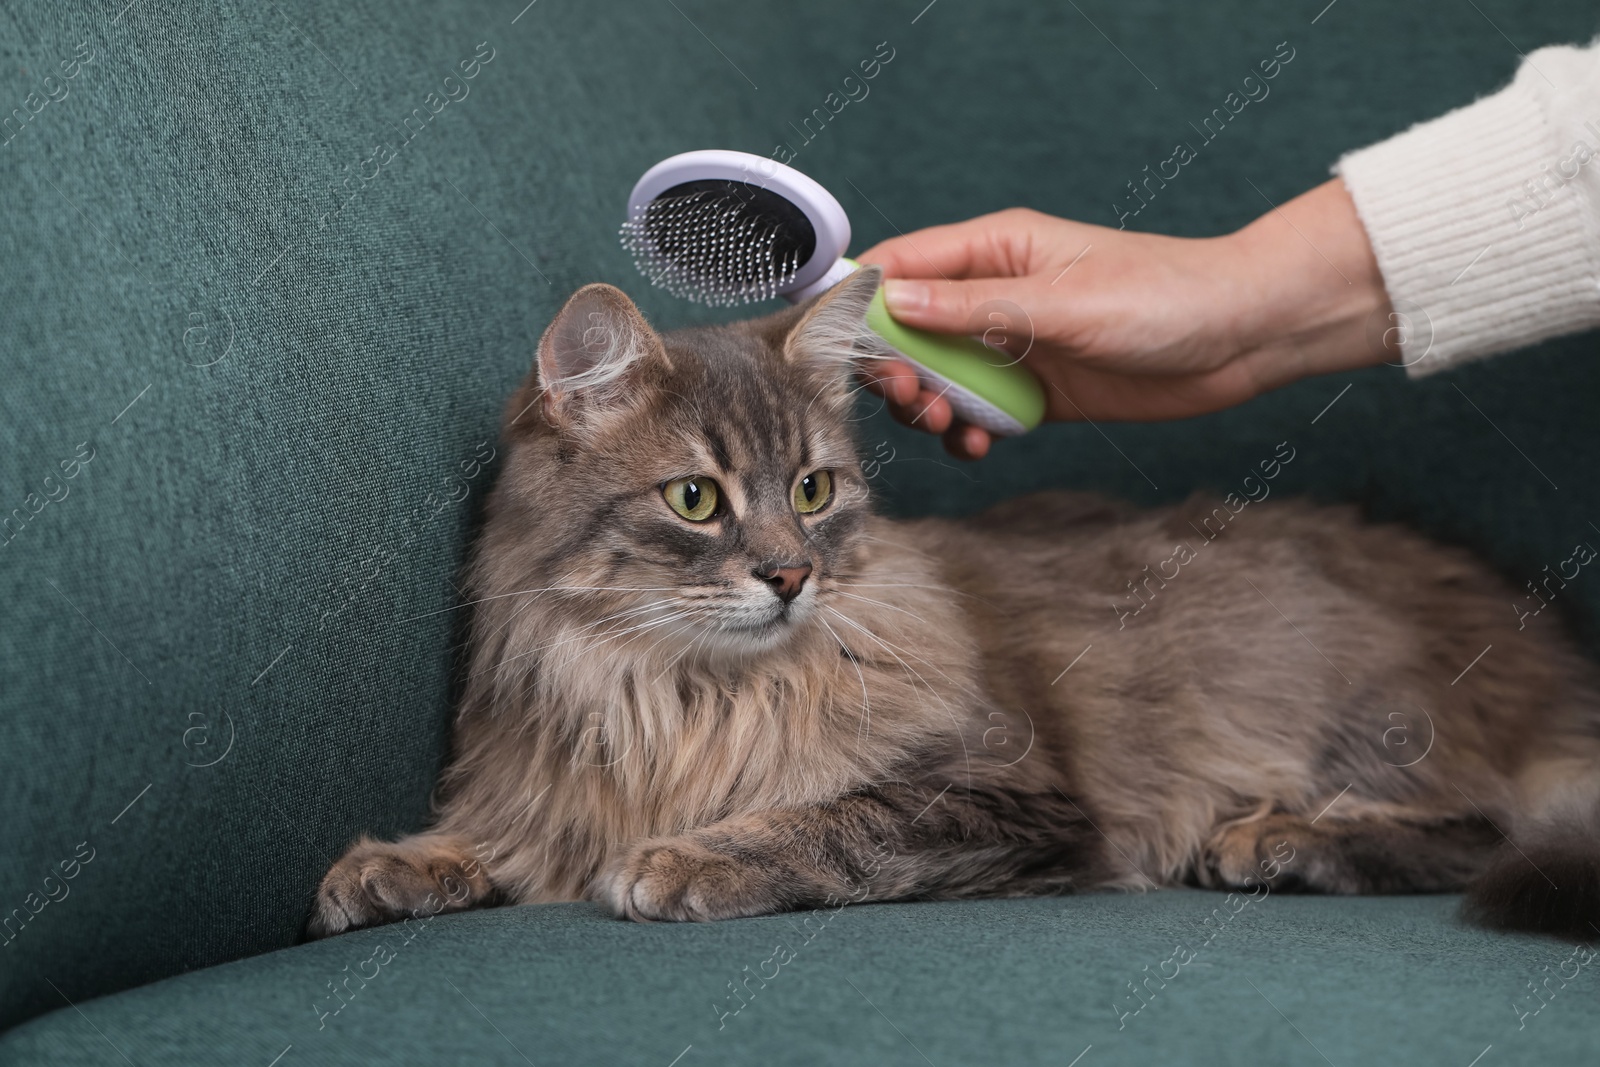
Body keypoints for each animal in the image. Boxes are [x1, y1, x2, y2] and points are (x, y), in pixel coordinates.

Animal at [305, 268, 1600, 940]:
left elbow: (828, 822)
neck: (688, 695)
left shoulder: (1012, 794)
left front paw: (688, 857)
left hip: (1364, 713)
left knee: (1487, 825)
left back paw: (1281, 838)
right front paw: (395, 867)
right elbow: (505, 837)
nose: (790, 574)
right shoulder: (550, 783)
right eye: (695, 499)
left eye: (813, 489)